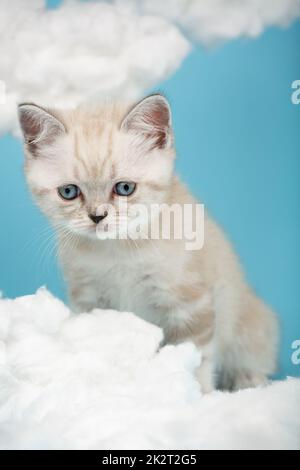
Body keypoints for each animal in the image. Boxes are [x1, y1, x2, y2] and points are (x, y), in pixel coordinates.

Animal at [17, 93, 278, 392]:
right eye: (69, 192)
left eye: (124, 188)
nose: (97, 216)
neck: (118, 250)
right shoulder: (90, 300)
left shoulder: (190, 302)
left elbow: (196, 358)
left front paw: (197, 394)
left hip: (250, 322)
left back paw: (247, 381)